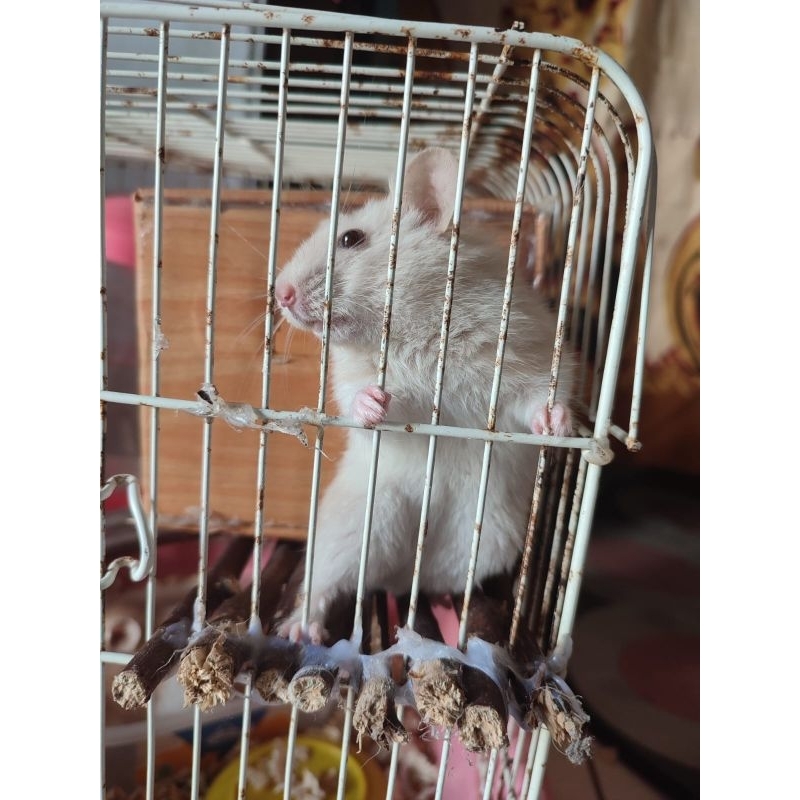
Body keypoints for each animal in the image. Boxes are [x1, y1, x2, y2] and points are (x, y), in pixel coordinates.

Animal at [275, 147, 575, 643]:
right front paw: (374, 403)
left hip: (485, 539)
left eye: (351, 239)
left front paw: (556, 423)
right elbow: (358, 400)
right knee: (324, 582)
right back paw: (302, 631)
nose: (280, 294)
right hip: (356, 523)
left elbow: (536, 401)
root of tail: (399, 572)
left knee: (431, 583)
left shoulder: (521, 359)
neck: (417, 327)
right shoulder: (353, 376)